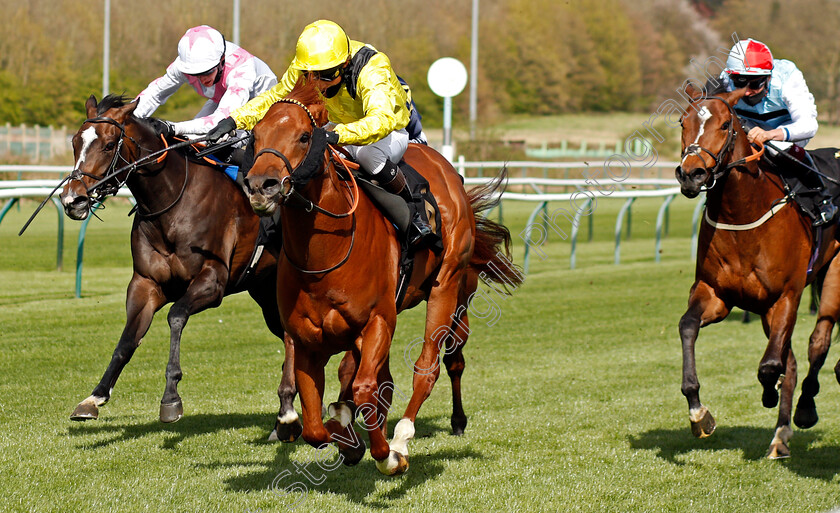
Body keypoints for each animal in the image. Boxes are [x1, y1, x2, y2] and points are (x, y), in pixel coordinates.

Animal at [60, 93, 302, 440]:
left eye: (107, 145)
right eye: (75, 142)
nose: (72, 200)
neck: (172, 202)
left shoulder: (212, 281)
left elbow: (176, 316)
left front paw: (171, 397)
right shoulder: (145, 283)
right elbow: (127, 340)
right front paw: (94, 398)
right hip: (266, 292)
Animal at [241, 80, 524, 476]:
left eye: (304, 136)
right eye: (256, 135)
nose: (260, 186)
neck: (324, 257)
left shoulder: (376, 321)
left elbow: (365, 390)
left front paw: (384, 452)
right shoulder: (307, 340)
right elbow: (315, 425)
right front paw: (345, 440)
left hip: (447, 287)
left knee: (430, 367)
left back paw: (406, 435)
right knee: (382, 382)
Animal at [672, 84, 840, 456]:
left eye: (724, 125)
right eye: (682, 123)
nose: (691, 174)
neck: (741, 214)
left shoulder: (787, 295)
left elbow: (770, 365)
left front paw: (769, 394)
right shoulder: (714, 293)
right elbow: (687, 326)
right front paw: (698, 411)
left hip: (833, 277)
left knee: (818, 342)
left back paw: (805, 409)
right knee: (793, 360)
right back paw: (780, 435)